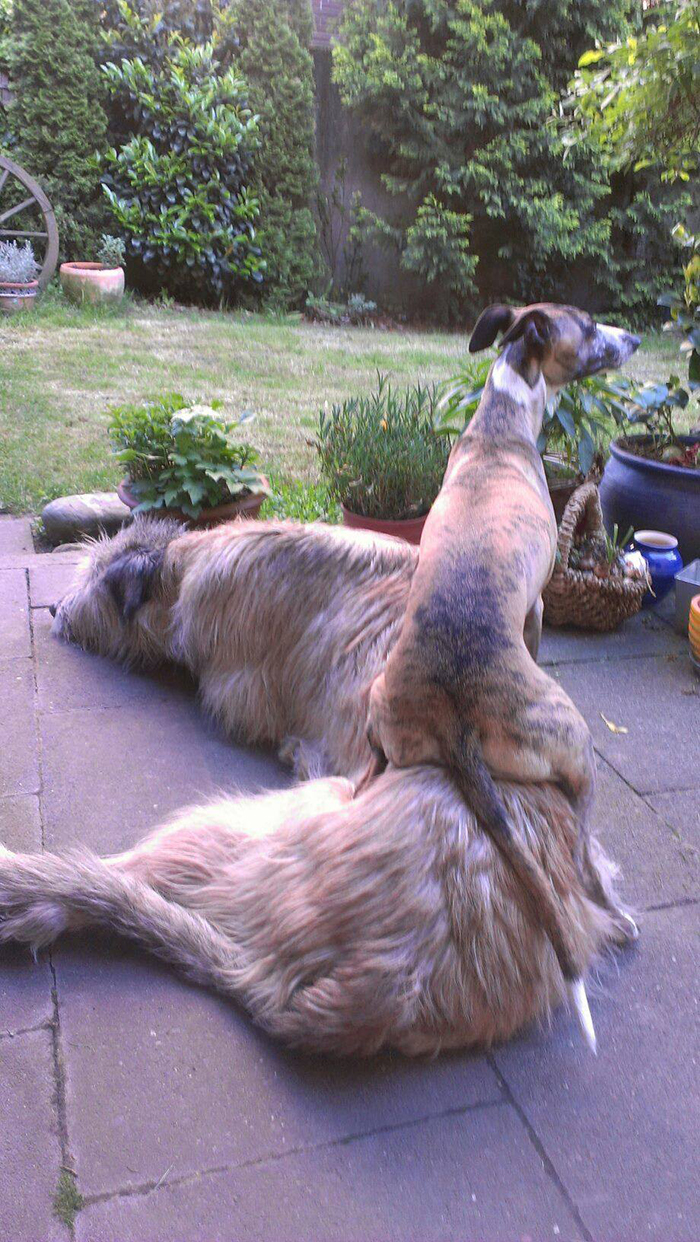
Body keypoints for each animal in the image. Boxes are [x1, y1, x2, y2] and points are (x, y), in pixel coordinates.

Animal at [0, 519, 635, 1053]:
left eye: (89, 580)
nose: (52, 608)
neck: (188, 563)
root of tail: (376, 989)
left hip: (244, 823)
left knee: (108, 876)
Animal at [359, 305, 640, 1013]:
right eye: (588, 325)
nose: (635, 338)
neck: (499, 428)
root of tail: (452, 710)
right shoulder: (537, 603)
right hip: (576, 750)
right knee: (582, 856)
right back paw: (618, 917)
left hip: (379, 726)